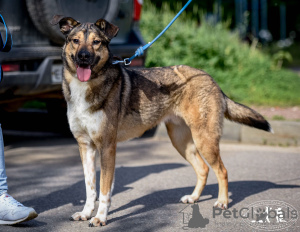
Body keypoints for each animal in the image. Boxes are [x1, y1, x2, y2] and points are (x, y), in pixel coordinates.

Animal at [51, 14, 272, 227]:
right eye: (75, 41)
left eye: (96, 42)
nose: (84, 57)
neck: (85, 87)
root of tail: (211, 79)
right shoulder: (86, 146)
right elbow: (90, 188)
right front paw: (86, 213)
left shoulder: (107, 147)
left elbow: (104, 191)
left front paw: (100, 218)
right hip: (181, 141)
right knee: (203, 169)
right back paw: (193, 198)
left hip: (205, 140)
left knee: (222, 171)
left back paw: (223, 202)